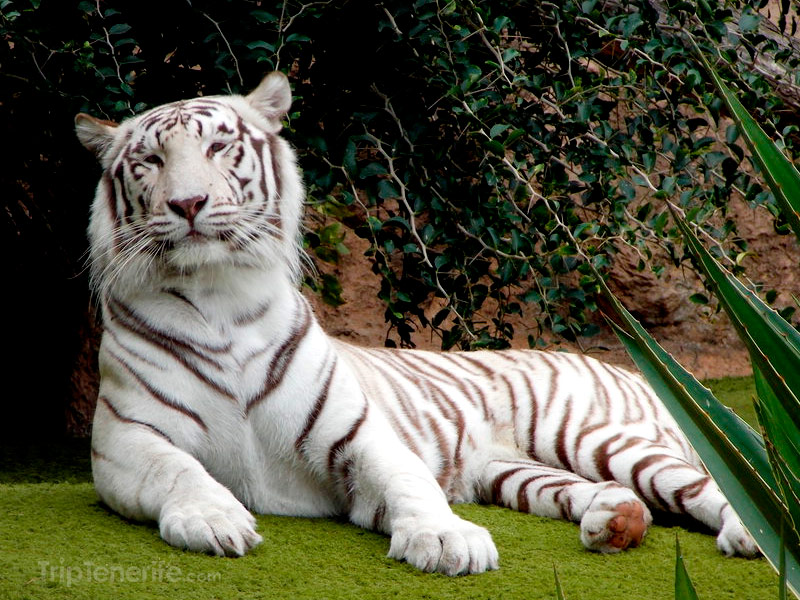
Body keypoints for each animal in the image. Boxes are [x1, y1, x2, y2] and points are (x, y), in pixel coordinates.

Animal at [75, 71, 758, 576]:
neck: (219, 294)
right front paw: (213, 519)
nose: (187, 203)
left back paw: (749, 535)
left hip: (596, 436)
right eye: (152, 160)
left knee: (716, 485)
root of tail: (635, 370)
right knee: (612, 494)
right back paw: (615, 520)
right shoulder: (124, 439)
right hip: (514, 471)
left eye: (217, 147)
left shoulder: (358, 433)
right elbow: (179, 469)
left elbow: (409, 483)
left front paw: (447, 539)